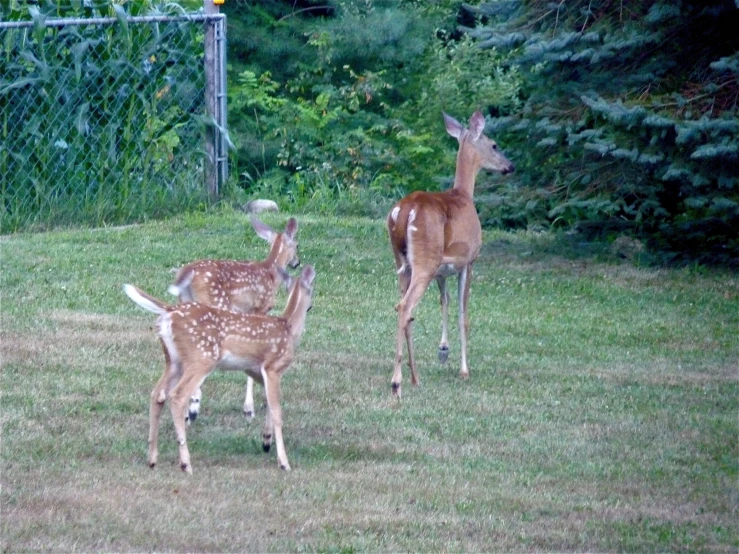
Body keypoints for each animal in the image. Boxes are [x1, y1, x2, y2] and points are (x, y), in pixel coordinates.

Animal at [124, 266, 316, 472]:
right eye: (311, 290)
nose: (310, 306)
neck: (289, 328)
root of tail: (170, 311)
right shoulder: (273, 367)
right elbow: (277, 410)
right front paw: (284, 462)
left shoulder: (255, 370)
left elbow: (268, 403)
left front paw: (266, 440)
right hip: (202, 358)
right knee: (177, 396)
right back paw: (185, 463)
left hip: (174, 361)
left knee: (157, 394)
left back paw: (152, 458)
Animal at [169, 216, 300, 422]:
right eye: (297, 245)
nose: (297, 262)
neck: (271, 273)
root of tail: (186, 271)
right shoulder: (260, 309)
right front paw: (250, 408)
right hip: (214, 301)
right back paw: (193, 407)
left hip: (185, 300)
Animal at [388, 111, 516, 396]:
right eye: (494, 145)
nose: (510, 166)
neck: (464, 194)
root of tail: (405, 210)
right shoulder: (468, 261)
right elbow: (462, 313)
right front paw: (464, 370)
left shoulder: (442, 270)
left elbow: (443, 301)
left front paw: (443, 349)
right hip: (424, 261)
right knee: (404, 306)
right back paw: (396, 381)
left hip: (403, 261)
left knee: (407, 311)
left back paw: (415, 377)